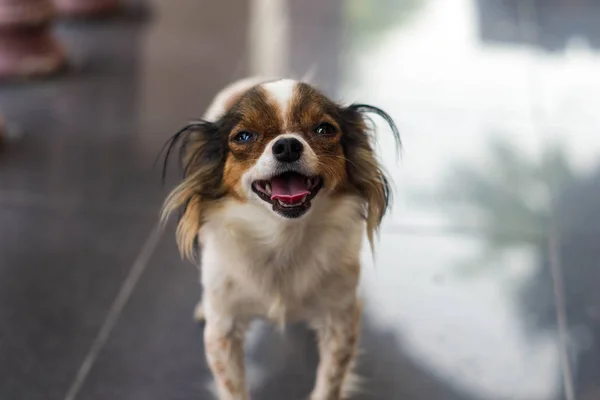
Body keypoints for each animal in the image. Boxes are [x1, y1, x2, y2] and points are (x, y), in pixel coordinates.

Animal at [162, 78, 400, 400]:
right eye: (244, 136)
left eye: (324, 129)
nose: (287, 145)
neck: (282, 237)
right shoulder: (223, 332)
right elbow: (233, 387)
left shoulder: (340, 322)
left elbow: (330, 382)